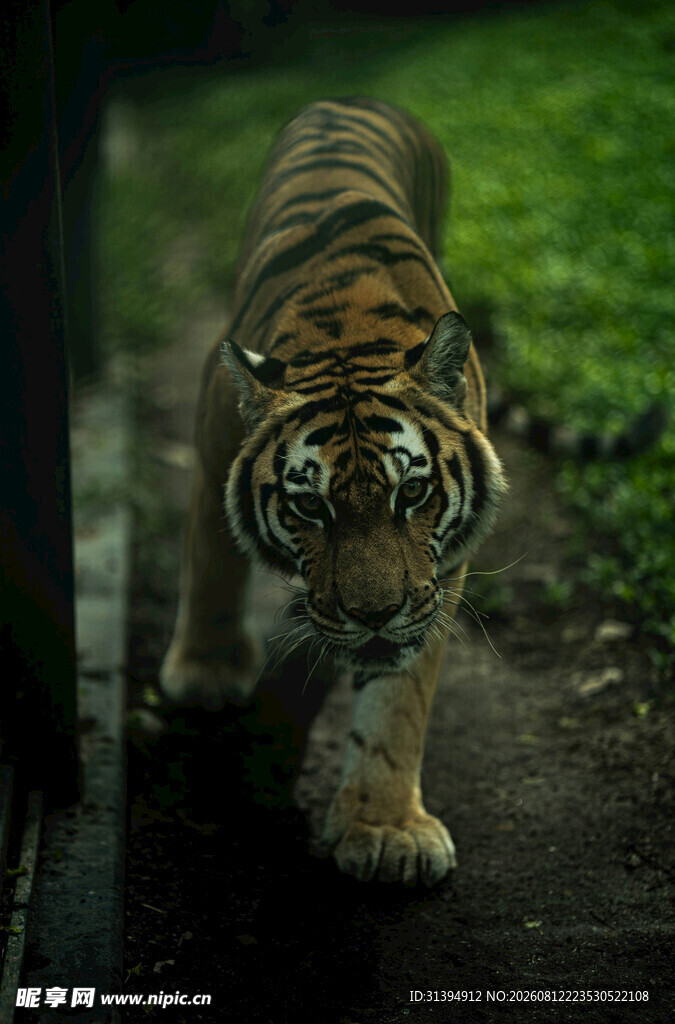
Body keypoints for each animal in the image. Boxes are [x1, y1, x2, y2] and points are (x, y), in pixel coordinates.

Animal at [160, 97, 508, 887]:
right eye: (308, 506)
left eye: (412, 493)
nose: (372, 616)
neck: (349, 335)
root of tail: (351, 99)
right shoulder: (213, 435)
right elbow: (209, 557)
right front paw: (204, 671)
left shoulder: (438, 572)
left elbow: (400, 697)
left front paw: (385, 830)